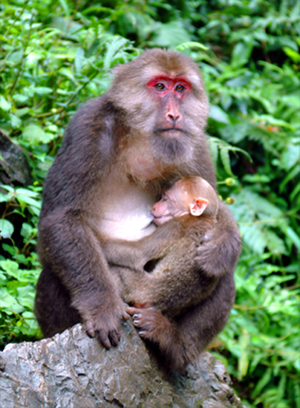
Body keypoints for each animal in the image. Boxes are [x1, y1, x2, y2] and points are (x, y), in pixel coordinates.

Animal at [35, 47, 241, 370]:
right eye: (160, 86)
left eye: (180, 88)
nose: (175, 114)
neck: (140, 139)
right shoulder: (88, 127)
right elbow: (62, 219)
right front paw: (103, 307)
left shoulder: (193, 142)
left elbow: (215, 207)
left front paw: (225, 242)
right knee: (55, 269)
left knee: (224, 274)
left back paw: (174, 345)